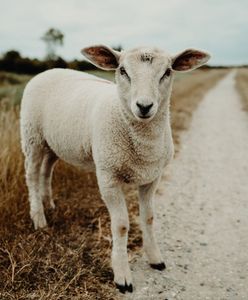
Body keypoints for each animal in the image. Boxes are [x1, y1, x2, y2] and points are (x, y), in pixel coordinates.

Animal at [20, 45, 209, 294]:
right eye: (122, 70)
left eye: (167, 72)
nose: (144, 106)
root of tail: (48, 71)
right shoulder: (108, 177)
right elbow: (120, 226)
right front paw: (122, 276)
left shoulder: (152, 177)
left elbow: (148, 217)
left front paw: (155, 258)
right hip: (32, 136)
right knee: (31, 174)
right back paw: (39, 217)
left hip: (53, 142)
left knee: (46, 169)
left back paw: (48, 203)